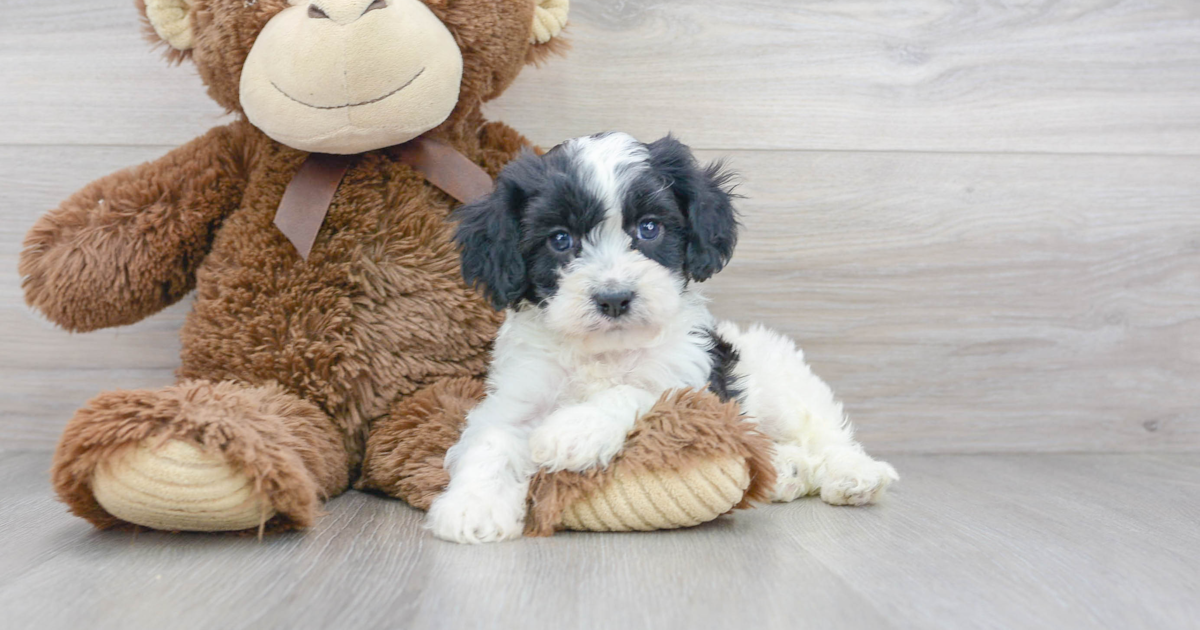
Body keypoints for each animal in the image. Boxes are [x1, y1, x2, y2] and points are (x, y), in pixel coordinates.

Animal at [427, 131, 897, 540]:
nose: (614, 298)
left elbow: (635, 392)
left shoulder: (693, 388)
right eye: (560, 239)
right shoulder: (518, 394)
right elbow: (491, 439)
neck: (605, 352)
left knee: (825, 432)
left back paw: (856, 475)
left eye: (649, 228)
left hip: (780, 382)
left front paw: (575, 430)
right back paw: (787, 471)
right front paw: (473, 506)